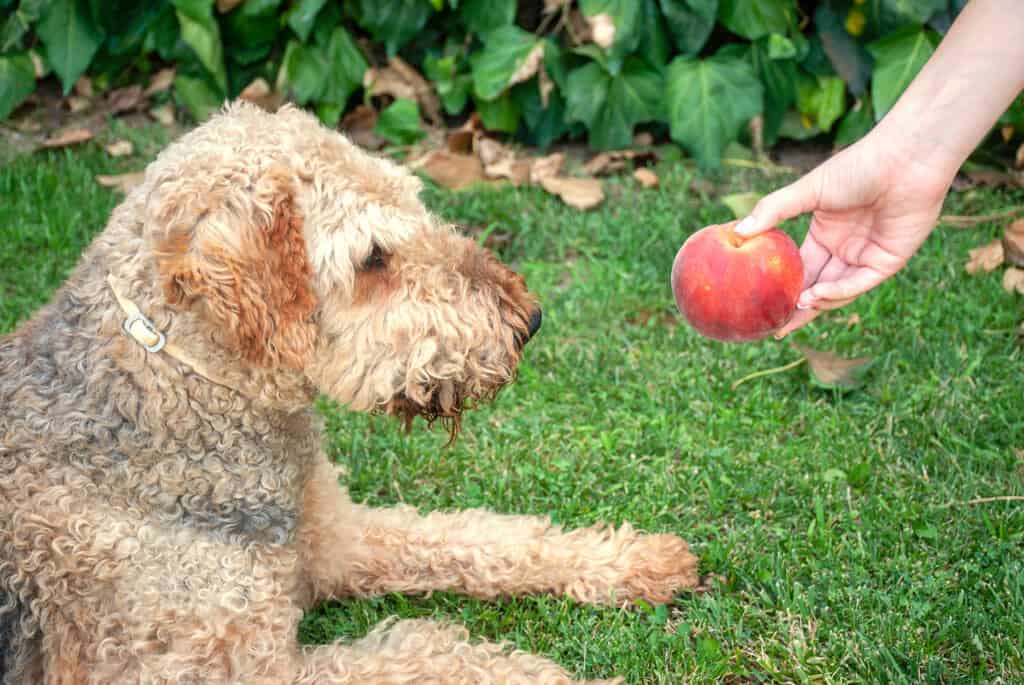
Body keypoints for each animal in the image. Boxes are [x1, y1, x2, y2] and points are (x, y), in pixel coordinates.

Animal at [0, 102, 700, 683]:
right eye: (372, 258)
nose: (528, 320)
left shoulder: (336, 539)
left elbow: (481, 537)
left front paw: (635, 560)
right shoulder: (218, 669)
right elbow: (431, 655)